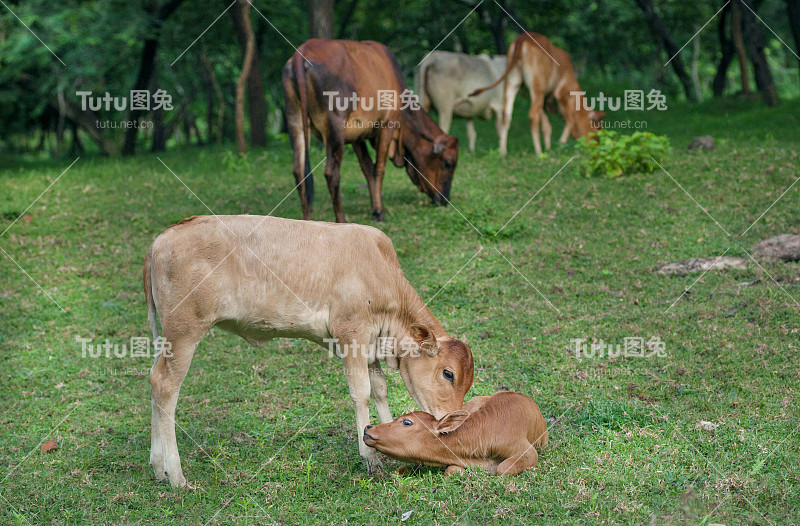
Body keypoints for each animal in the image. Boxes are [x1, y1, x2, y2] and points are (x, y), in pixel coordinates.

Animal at [282, 38, 460, 224]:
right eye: (448, 163)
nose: (444, 199)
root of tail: (303, 51)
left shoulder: (357, 136)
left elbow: (367, 169)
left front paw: (375, 208)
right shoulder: (387, 125)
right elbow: (379, 169)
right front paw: (379, 211)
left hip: (295, 121)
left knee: (299, 172)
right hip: (335, 128)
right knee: (331, 173)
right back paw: (341, 220)